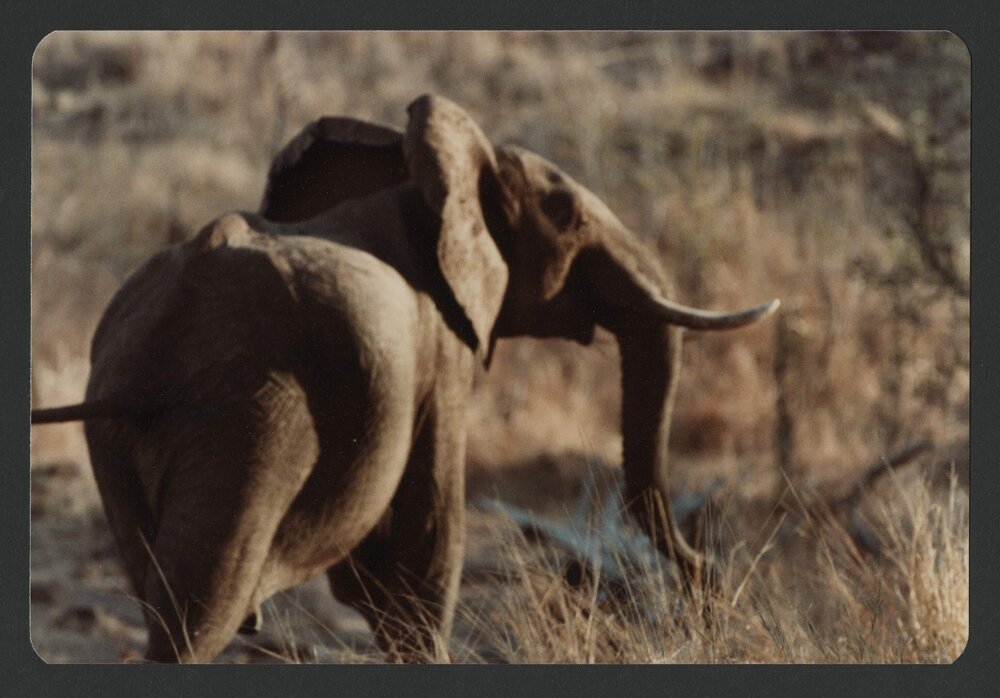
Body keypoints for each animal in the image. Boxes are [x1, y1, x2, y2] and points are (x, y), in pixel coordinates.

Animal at [30, 94, 779, 662]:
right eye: (567, 217)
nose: (709, 580)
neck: (430, 178)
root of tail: (151, 352)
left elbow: (370, 576)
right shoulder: (439, 350)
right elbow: (426, 543)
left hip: (122, 442)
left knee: (157, 592)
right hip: (248, 422)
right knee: (196, 614)